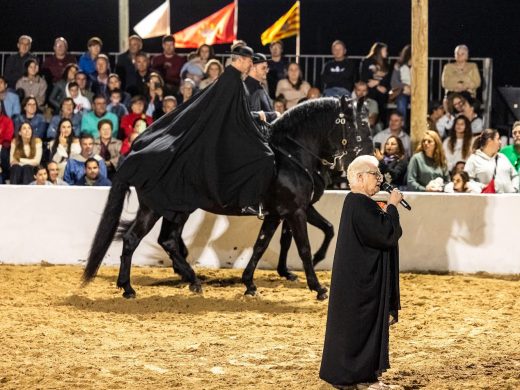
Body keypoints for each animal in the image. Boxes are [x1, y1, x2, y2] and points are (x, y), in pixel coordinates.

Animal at [83, 96, 372, 300]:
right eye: (359, 125)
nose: (369, 158)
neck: (290, 154)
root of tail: (137, 154)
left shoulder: (279, 212)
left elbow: (265, 244)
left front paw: (251, 283)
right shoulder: (295, 210)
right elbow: (303, 247)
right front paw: (317, 285)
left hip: (174, 210)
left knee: (166, 240)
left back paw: (188, 280)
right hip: (158, 209)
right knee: (136, 239)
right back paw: (130, 287)